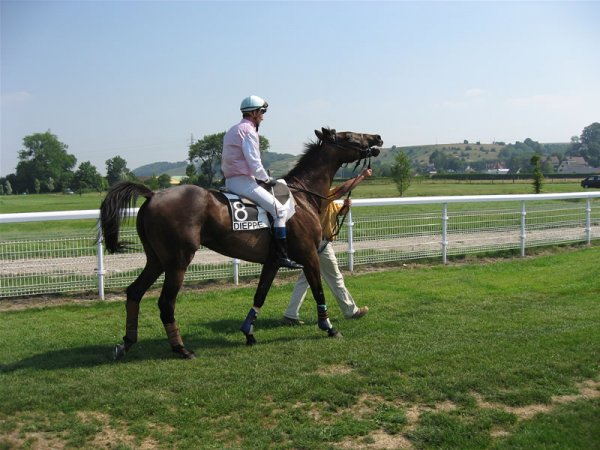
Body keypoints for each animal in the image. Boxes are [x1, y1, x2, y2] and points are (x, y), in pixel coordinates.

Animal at [98, 126, 380, 358]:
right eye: (349, 136)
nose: (377, 138)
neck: (302, 196)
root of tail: (153, 194)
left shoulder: (273, 261)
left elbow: (260, 295)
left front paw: (248, 331)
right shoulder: (309, 256)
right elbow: (318, 290)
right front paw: (329, 327)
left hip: (156, 260)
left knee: (134, 292)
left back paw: (126, 343)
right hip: (177, 262)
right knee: (166, 302)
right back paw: (180, 348)